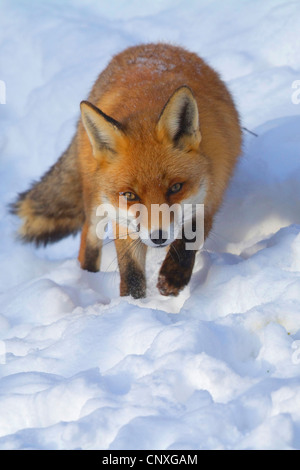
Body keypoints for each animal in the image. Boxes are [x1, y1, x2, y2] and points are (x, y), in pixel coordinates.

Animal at [11, 45, 241, 302]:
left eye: (175, 188)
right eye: (130, 195)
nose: (158, 237)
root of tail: (151, 45)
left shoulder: (211, 194)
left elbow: (190, 238)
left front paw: (172, 277)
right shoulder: (121, 216)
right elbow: (131, 273)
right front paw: (132, 304)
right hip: (95, 202)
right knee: (88, 240)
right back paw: (87, 278)